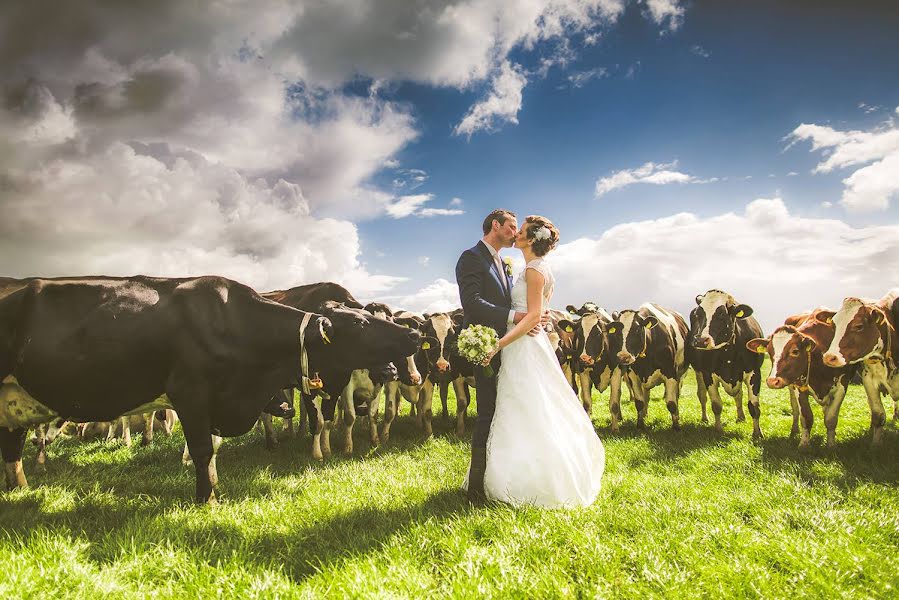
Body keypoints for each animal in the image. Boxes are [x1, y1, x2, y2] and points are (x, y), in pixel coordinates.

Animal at [604, 304, 688, 432]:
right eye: (617, 332)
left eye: (637, 330)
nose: (624, 357)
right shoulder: (633, 376)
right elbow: (639, 403)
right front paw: (640, 425)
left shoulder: (671, 373)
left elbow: (671, 403)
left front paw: (676, 426)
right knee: (646, 396)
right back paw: (644, 415)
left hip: (681, 375)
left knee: (676, 396)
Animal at [692, 290, 764, 436]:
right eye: (697, 314)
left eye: (722, 314)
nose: (701, 341)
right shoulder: (708, 374)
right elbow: (716, 405)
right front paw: (718, 430)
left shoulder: (754, 373)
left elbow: (754, 406)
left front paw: (757, 434)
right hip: (698, 372)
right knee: (702, 395)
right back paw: (704, 418)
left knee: (739, 396)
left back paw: (741, 417)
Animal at [748, 310, 860, 446]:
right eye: (769, 352)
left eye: (795, 351)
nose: (772, 381)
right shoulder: (798, 385)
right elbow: (806, 416)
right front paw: (804, 444)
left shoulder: (842, 384)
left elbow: (831, 418)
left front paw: (831, 444)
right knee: (795, 409)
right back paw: (794, 431)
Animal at [824, 290, 899, 446]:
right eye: (834, 325)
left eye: (858, 326)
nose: (829, 357)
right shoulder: (869, 379)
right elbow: (878, 415)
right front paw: (875, 445)